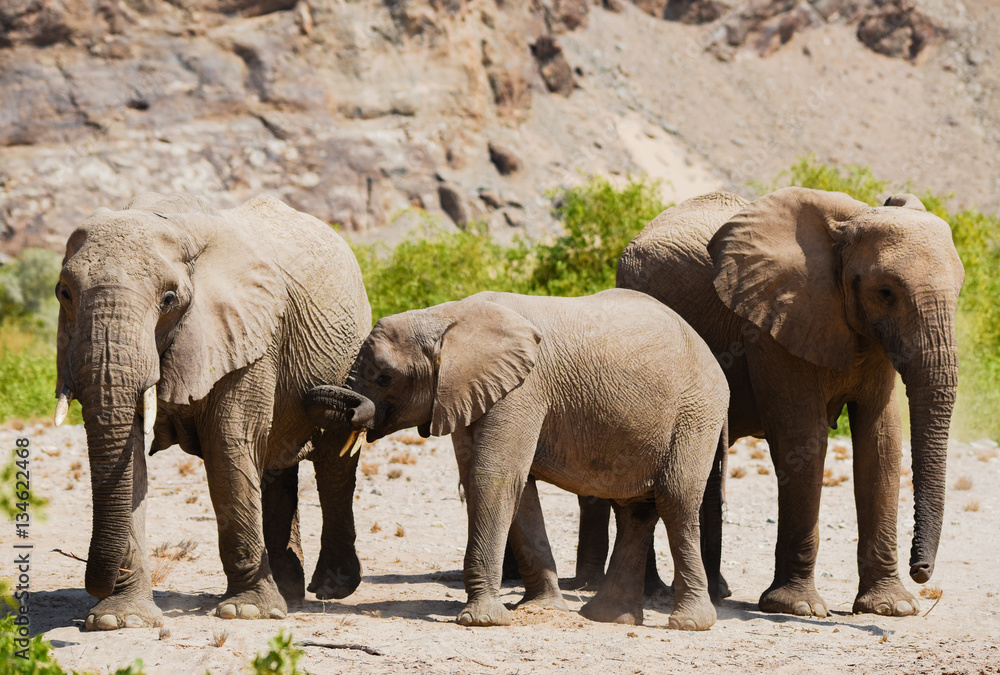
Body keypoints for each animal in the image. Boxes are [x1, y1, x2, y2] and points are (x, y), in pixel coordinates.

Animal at [51, 193, 372, 632]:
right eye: (63, 292)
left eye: (169, 299)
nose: (97, 582)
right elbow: (129, 455)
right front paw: (119, 619)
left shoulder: (251, 333)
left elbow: (227, 444)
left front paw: (247, 613)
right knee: (275, 463)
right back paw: (289, 591)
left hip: (349, 353)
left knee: (333, 460)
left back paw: (330, 588)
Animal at [316, 292, 732, 632]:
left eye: (385, 377)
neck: (445, 316)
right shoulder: (470, 391)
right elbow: (510, 486)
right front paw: (541, 608)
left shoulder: (522, 388)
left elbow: (494, 477)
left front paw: (481, 621)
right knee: (637, 510)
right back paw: (606, 618)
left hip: (696, 411)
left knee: (676, 500)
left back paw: (689, 624)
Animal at [576, 186, 964, 616]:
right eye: (886, 292)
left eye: (960, 290)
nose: (922, 571)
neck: (849, 223)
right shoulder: (773, 321)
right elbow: (804, 439)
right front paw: (798, 607)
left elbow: (880, 443)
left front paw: (892, 608)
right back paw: (655, 593)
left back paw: (714, 591)